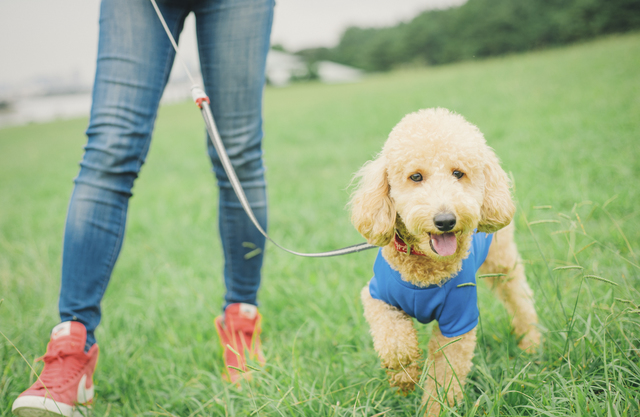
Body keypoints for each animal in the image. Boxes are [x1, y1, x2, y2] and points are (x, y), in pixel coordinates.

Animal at [350, 109, 540, 414]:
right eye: (415, 176)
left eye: (458, 173)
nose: (445, 220)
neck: (425, 268)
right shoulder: (377, 296)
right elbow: (395, 344)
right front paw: (404, 378)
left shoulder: (459, 319)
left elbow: (445, 376)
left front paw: (436, 409)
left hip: (503, 260)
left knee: (519, 297)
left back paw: (531, 343)